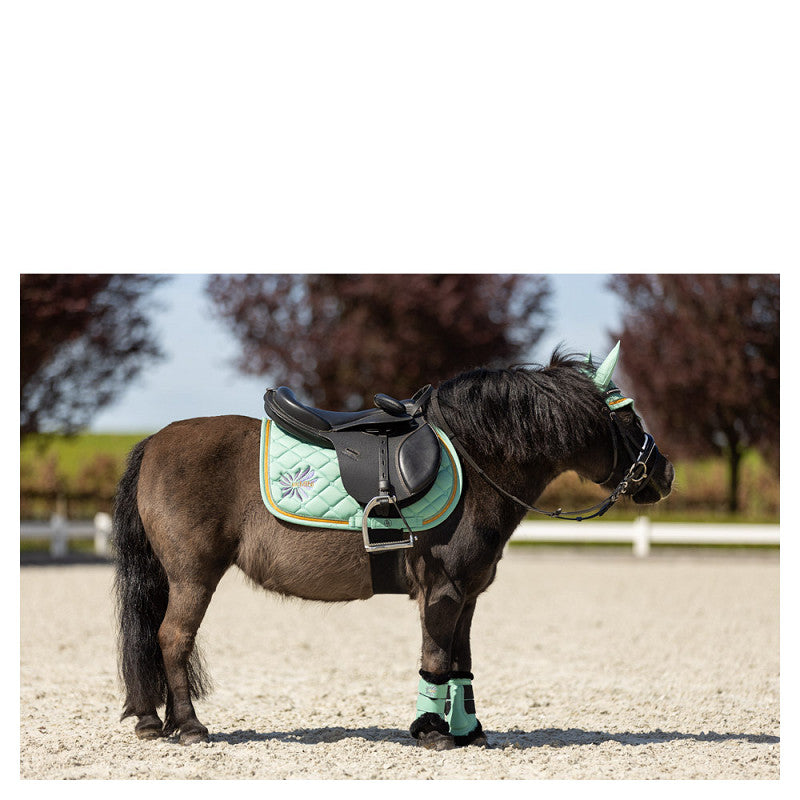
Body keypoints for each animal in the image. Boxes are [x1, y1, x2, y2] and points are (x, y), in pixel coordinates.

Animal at [112, 346, 674, 749]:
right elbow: (436, 658)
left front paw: (468, 731)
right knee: (172, 638)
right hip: (193, 575)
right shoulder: (442, 591)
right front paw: (433, 731)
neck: (475, 460)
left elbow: (461, 663)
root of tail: (154, 442)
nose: (666, 473)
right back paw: (187, 726)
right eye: (627, 417)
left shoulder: (468, 596)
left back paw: (155, 720)